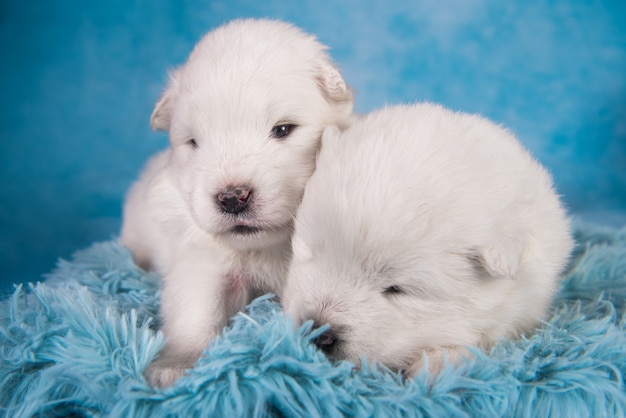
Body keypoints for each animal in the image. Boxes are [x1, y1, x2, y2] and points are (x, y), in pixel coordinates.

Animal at [120, 18, 354, 386]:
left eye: (283, 129)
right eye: (194, 143)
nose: (232, 198)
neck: (265, 248)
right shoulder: (204, 264)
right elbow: (195, 312)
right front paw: (176, 365)